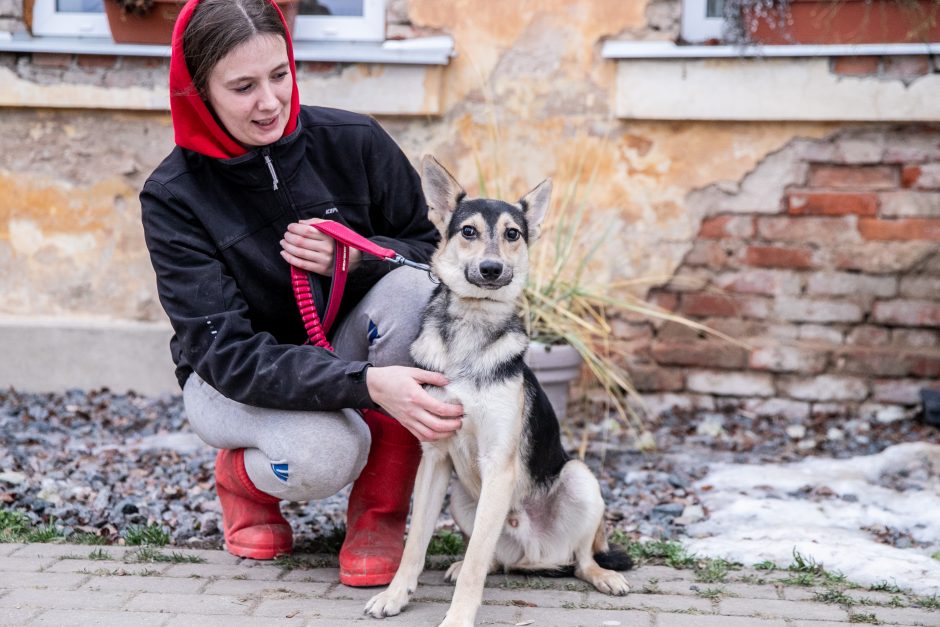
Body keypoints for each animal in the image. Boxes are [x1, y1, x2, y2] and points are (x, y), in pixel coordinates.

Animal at [366, 157, 632, 627]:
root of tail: (534, 556)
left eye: (512, 234)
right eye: (468, 231)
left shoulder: (498, 466)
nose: (491, 269)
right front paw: (396, 594)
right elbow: (416, 544)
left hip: (580, 480)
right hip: (460, 495)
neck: (473, 325)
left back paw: (603, 575)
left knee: (580, 558)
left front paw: (457, 618)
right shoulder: (434, 458)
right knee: (490, 555)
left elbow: (476, 560)